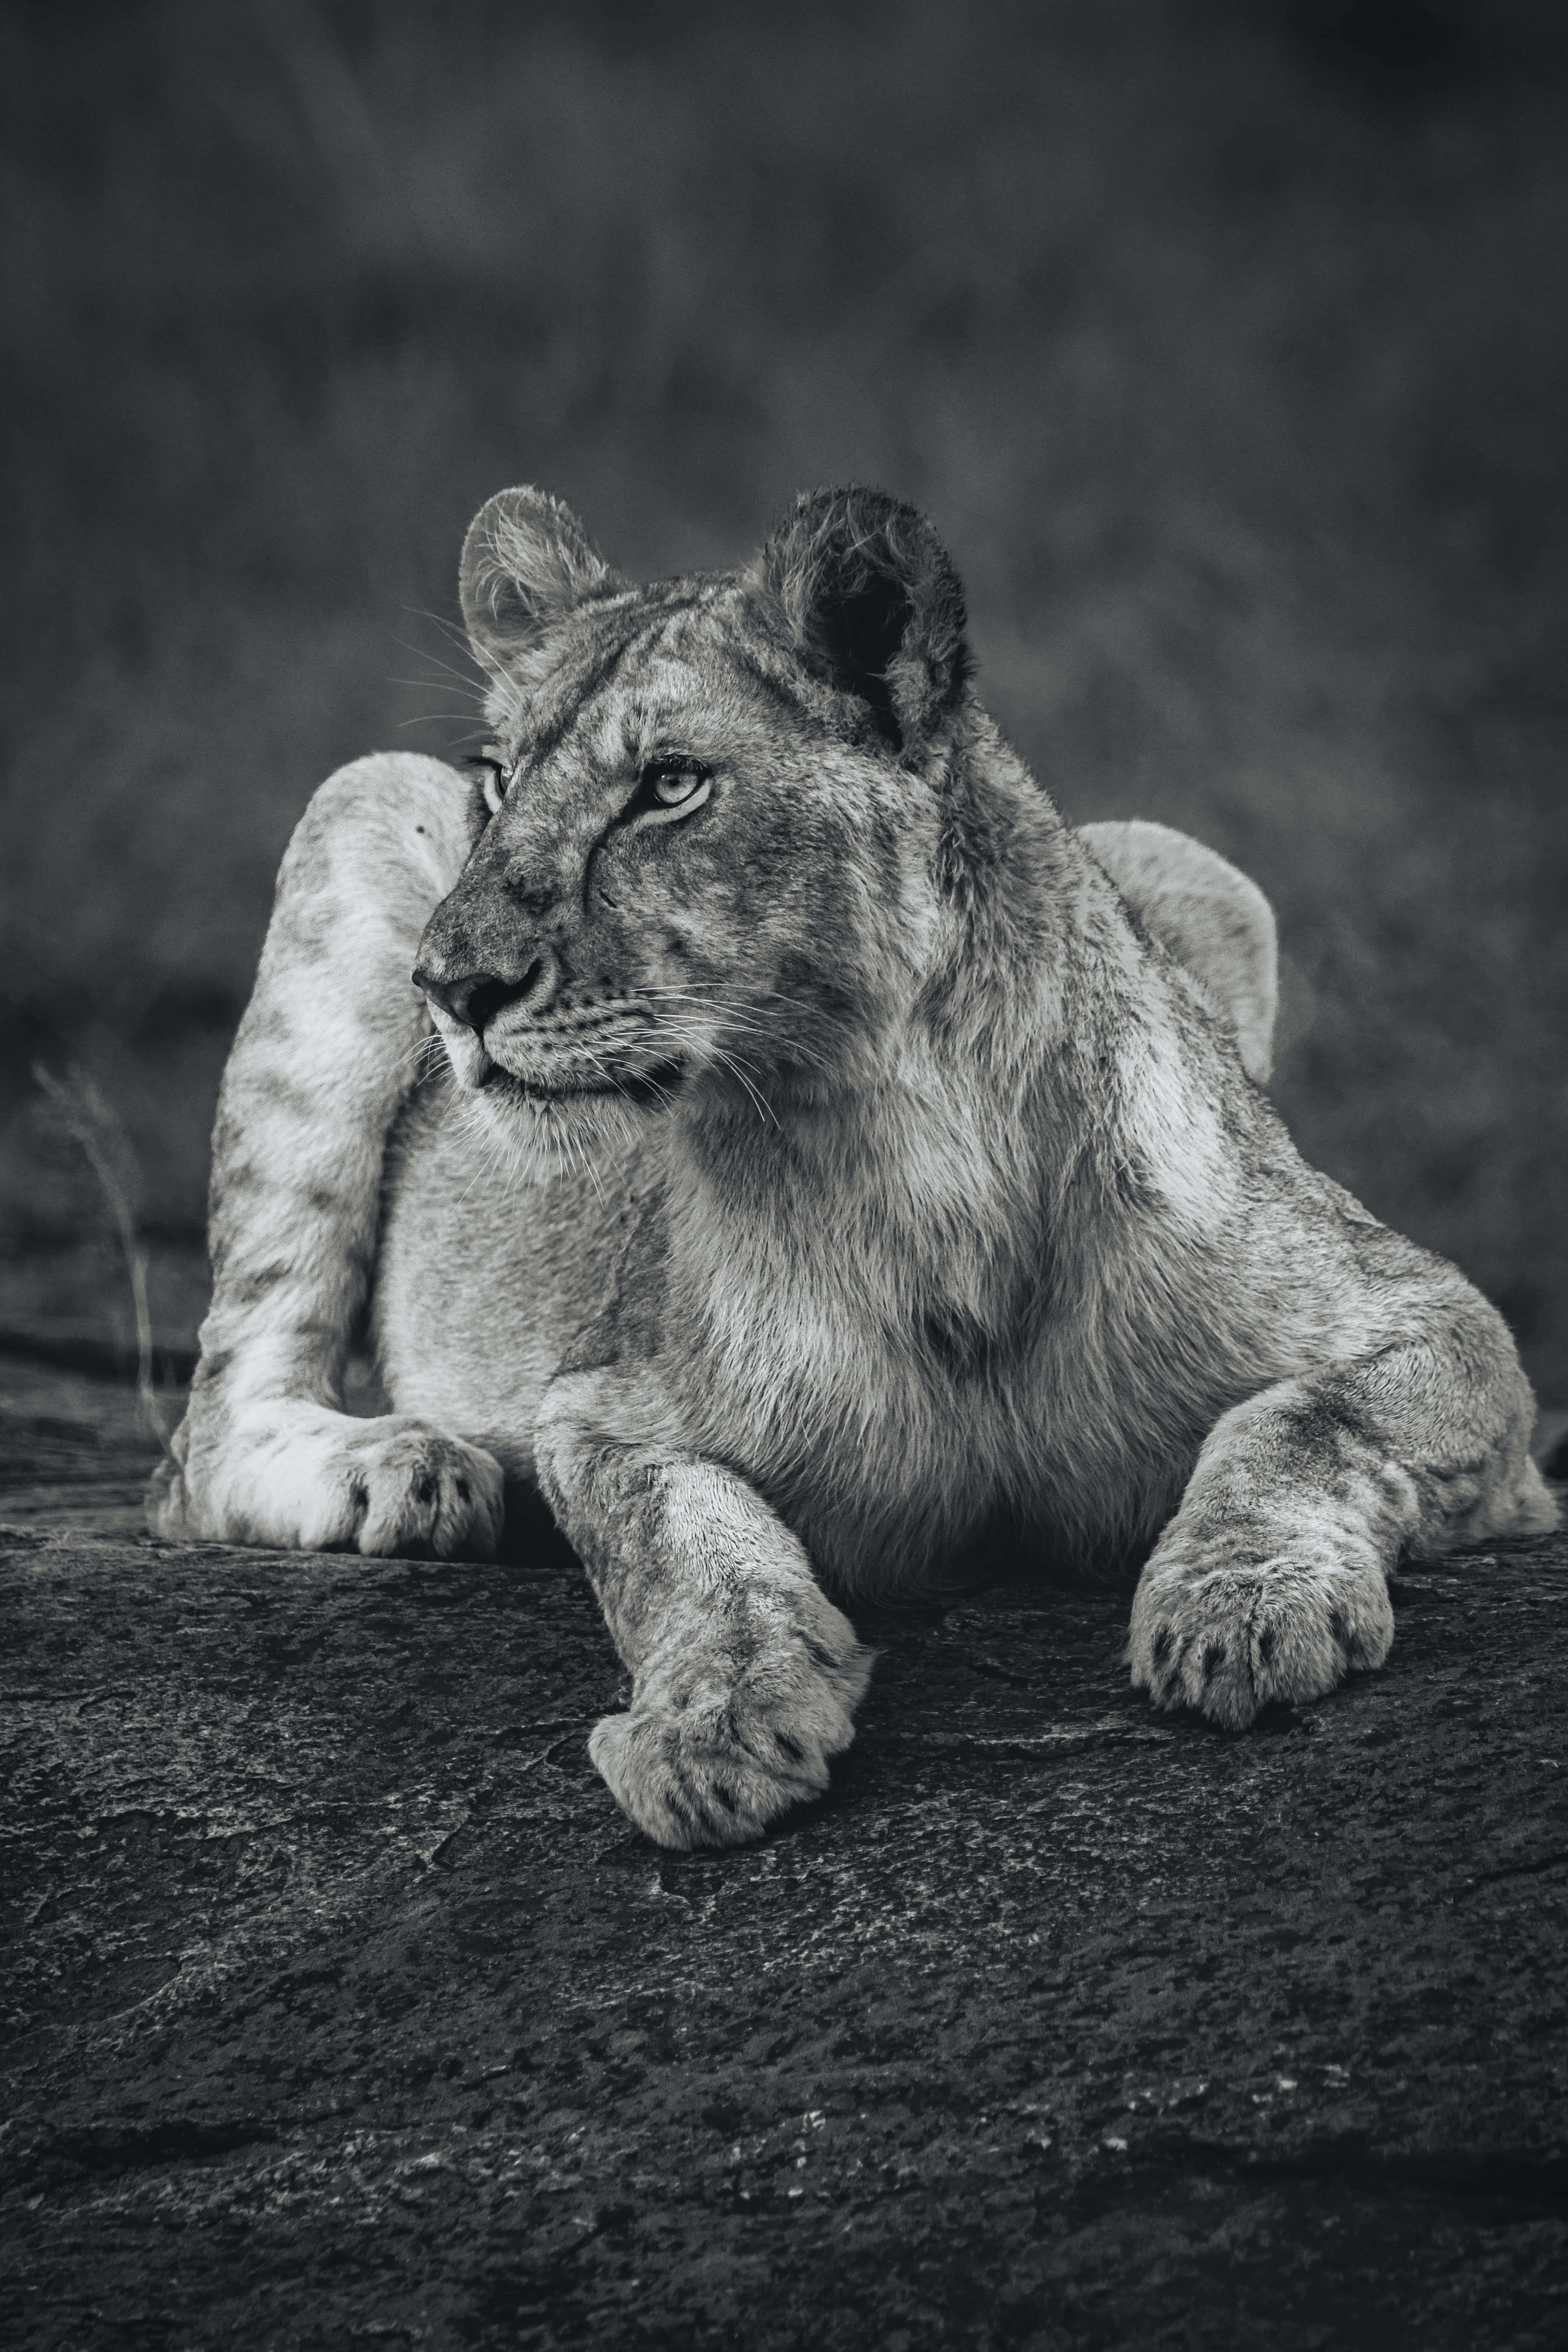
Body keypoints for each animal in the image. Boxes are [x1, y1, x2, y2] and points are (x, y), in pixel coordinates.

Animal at [150, 484, 1557, 1849]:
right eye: (493, 783)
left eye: (669, 783)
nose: (450, 987)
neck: (916, 1160)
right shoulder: (607, 1406)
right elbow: (678, 1540)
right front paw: (717, 1723)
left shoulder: (1439, 1321)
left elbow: (1301, 1419)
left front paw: (1241, 1608)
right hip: (356, 808)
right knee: (203, 1440)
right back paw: (409, 1471)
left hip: (1199, 872)